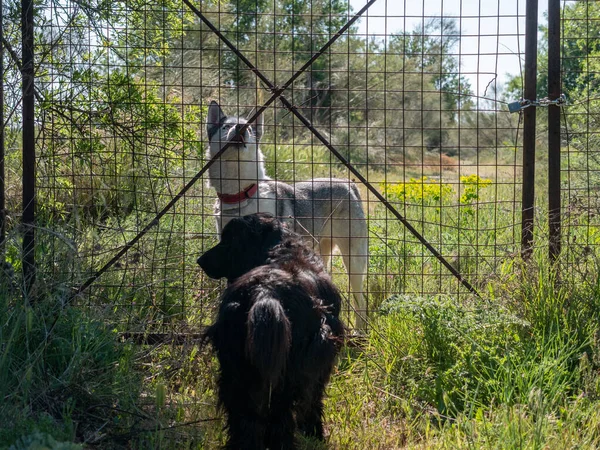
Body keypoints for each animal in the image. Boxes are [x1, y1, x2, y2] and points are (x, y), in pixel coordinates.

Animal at [198, 213, 344, 448]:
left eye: (229, 241)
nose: (200, 261)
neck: (279, 248)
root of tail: (265, 291)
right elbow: (314, 402)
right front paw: (315, 434)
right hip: (288, 374)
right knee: (280, 416)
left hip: (237, 371)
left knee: (245, 417)